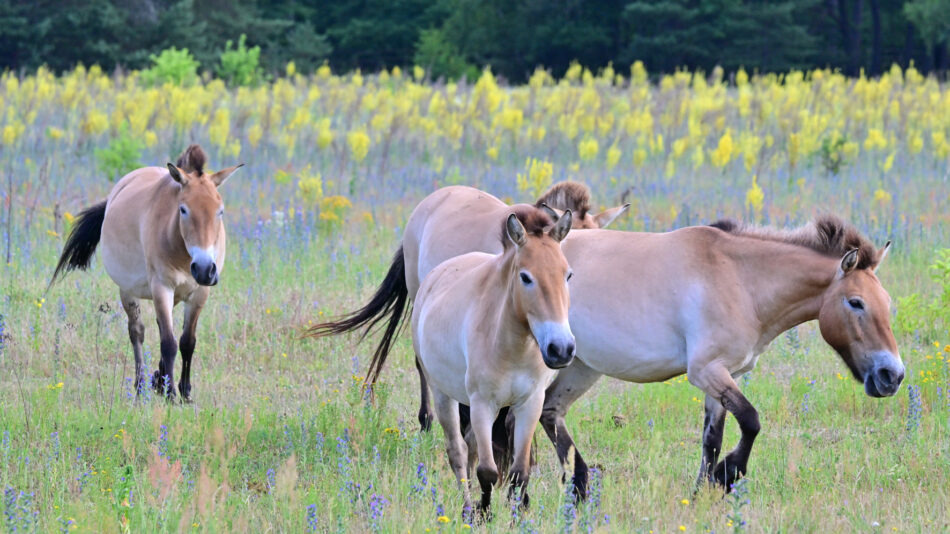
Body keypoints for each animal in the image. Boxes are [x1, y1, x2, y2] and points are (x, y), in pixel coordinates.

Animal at [49, 145, 242, 402]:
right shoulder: (161, 288)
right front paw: (171, 394)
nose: (203, 269)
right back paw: (141, 386)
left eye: (220, 211)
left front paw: (184, 392)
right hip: (128, 291)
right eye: (183, 210)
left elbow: (187, 342)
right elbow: (168, 343)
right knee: (137, 332)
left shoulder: (200, 294)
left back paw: (157, 380)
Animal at [409, 206, 575, 515]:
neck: (512, 346)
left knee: (471, 446)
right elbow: (487, 471)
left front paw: (516, 516)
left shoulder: (529, 404)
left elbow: (519, 472)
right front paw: (482, 514)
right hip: (443, 394)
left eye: (568, 275)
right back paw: (466, 507)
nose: (561, 349)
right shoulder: (482, 404)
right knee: (458, 451)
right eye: (525, 277)